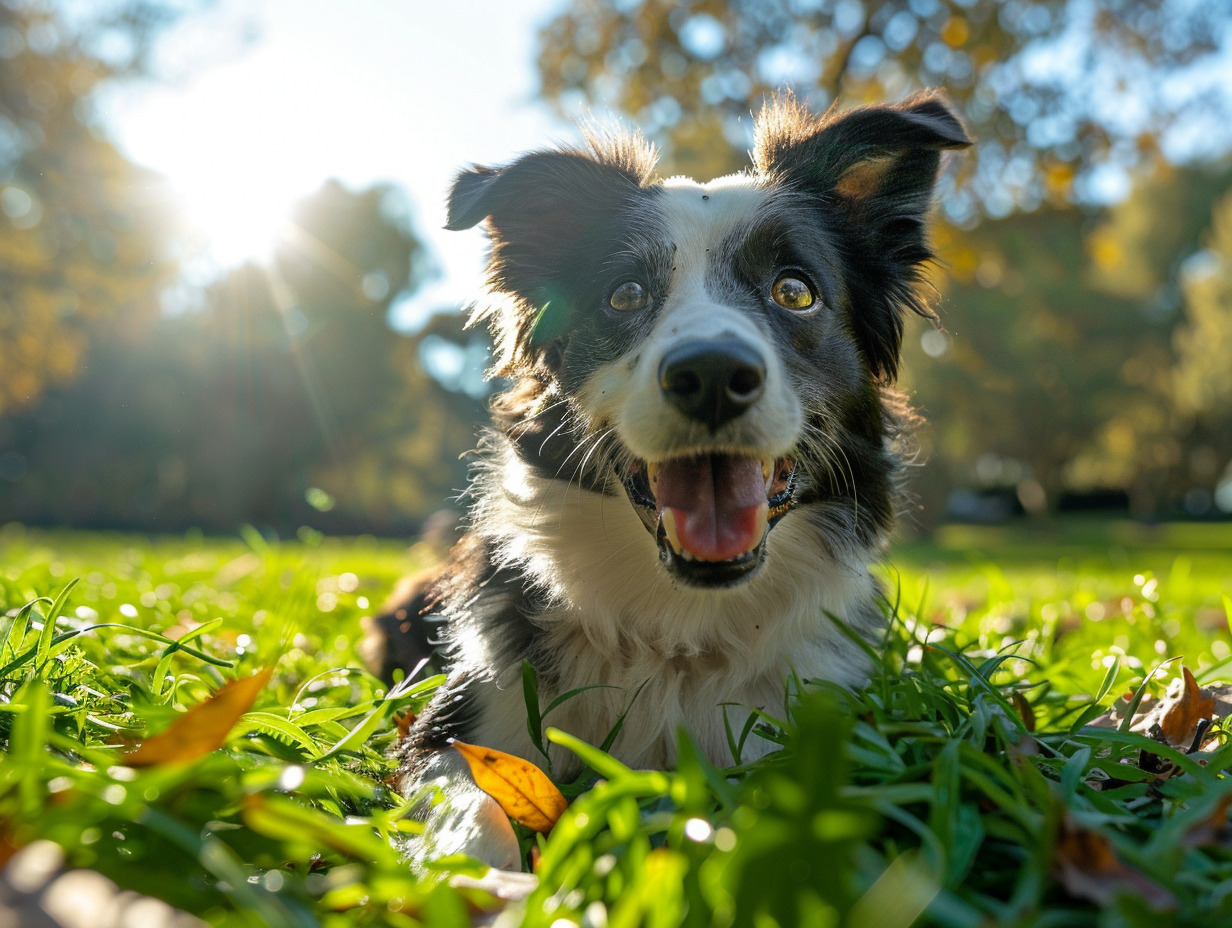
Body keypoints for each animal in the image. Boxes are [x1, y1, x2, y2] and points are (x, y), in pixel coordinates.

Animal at [359, 90, 965, 867]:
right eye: (624, 295)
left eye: (795, 291)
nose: (711, 374)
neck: (682, 627)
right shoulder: (468, 714)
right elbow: (476, 803)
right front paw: (474, 878)